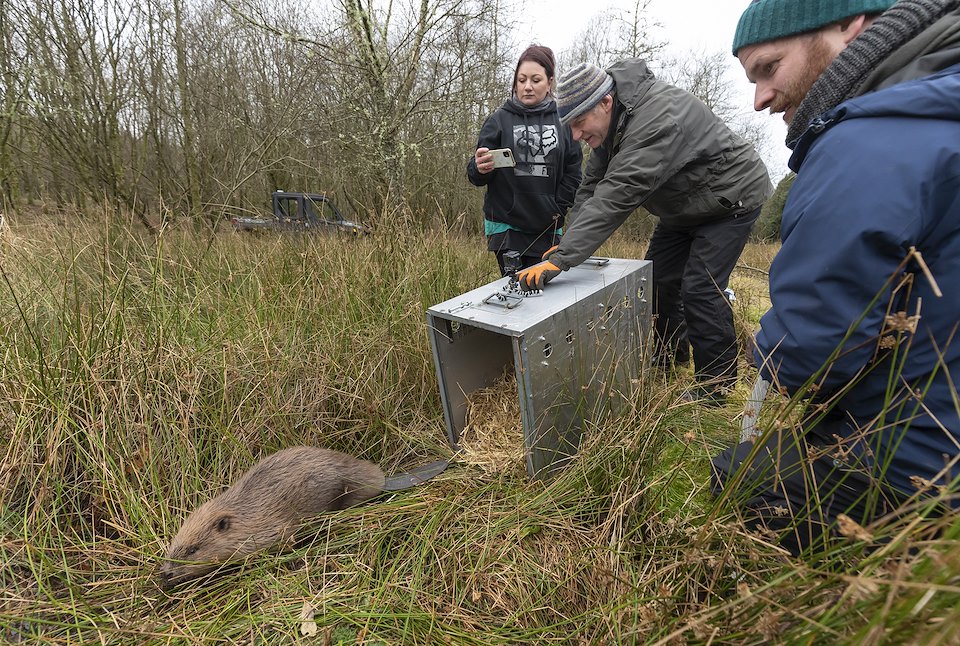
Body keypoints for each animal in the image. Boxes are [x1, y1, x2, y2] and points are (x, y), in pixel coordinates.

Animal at [159, 448, 406, 588]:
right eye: (174, 545)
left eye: (193, 550)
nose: (165, 573)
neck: (243, 515)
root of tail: (380, 479)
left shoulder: (270, 530)